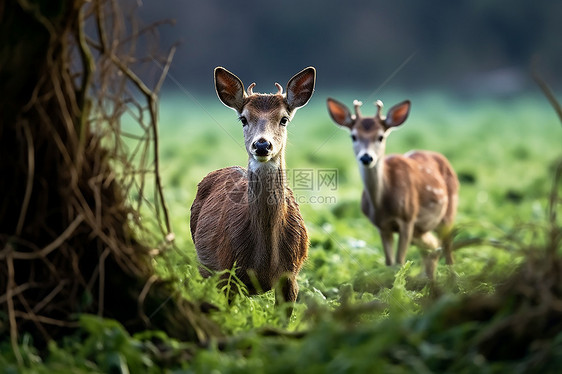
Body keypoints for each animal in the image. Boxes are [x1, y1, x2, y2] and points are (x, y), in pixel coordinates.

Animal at [190, 67, 316, 304]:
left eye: (284, 119)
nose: (262, 144)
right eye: (243, 119)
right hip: (205, 267)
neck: (265, 261)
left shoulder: (291, 277)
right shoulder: (227, 273)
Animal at [326, 98, 458, 280]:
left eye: (380, 137)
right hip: (420, 230)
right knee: (432, 246)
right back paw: (428, 279)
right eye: (353, 136)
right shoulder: (381, 226)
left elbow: (399, 261)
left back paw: (453, 279)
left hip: (448, 212)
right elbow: (389, 263)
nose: (366, 157)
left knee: (447, 247)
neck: (382, 205)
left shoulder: (408, 218)